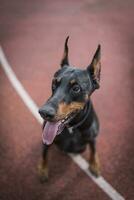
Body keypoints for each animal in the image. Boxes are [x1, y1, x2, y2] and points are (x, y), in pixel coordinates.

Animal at [38, 36, 101, 182]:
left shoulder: (92, 136)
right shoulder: (46, 139)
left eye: (76, 88)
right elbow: (44, 152)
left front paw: (95, 165)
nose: (43, 112)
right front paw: (43, 169)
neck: (72, 128)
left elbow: (94, 149)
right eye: (54, 83)